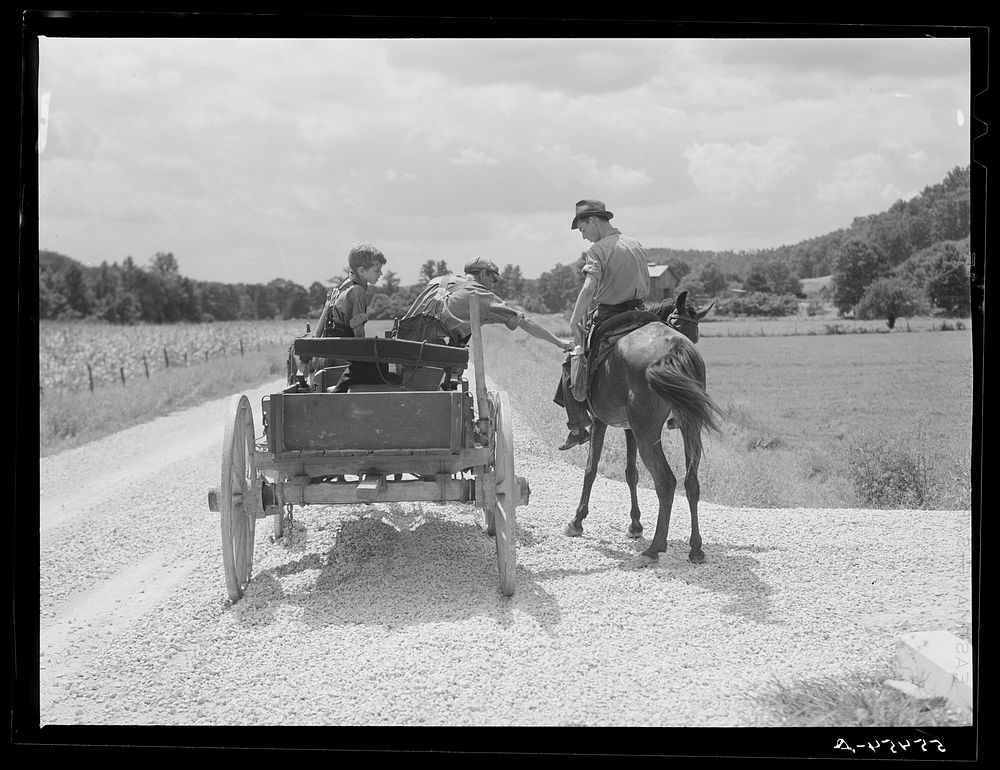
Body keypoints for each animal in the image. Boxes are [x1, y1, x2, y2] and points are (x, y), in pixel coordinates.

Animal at [564, 290, 728, 564]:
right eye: (687, 331)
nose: (690, 342)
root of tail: (675, 349)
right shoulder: (629, 427)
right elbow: (631, 473)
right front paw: (635, 525)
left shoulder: (600, 420)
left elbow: (590, 468)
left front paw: (577, 521)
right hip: (686, 425)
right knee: (691, 481)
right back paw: (695, 548)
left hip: (647, 432)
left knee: (666, 481)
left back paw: (654, 548)